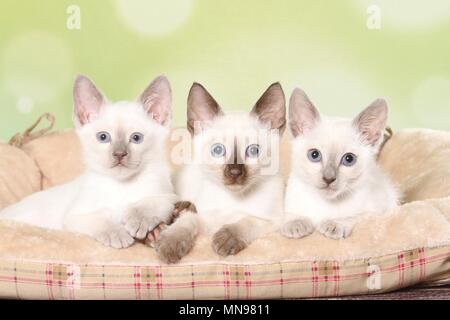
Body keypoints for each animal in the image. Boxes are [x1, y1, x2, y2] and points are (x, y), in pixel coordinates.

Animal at [0, 74, 178, 248]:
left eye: (136, 138)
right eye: (103, 137)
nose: (119, 154)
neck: (121, 185)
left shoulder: (170, 196)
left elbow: (153, 203)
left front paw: (138, 220)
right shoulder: (74, 217)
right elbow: (102, 220)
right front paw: (117, 234)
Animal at [155, 82, 286, 262]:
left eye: (253, 151)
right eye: (218, 150)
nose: (235, 172)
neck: (235, 199)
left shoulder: (276, 220)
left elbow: (248, 221)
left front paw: (227, 238)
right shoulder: (209, 217)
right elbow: (189, 220)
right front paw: (170, 243)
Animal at [284, 89, 400, 239]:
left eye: (349, 159)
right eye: (314, 155)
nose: (328, 178)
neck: (326, 203)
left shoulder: (379, 211)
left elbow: (357, 216)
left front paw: (335, 224)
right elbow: (289, 215)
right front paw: (296, 223)